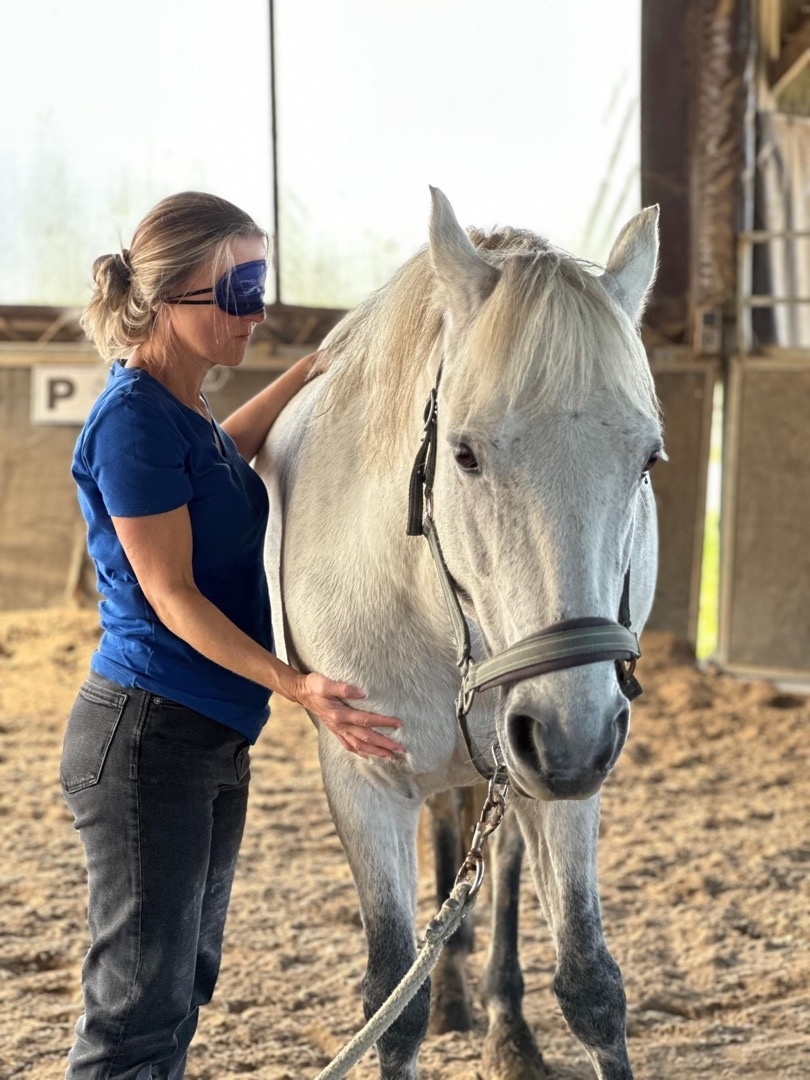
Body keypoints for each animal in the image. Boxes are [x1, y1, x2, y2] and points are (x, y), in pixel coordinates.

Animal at [256, 187, 661, 1080]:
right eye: (465, 454)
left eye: (648, 459)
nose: (571, 736)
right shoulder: (364, 781)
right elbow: (390, 1003)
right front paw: (429, 993)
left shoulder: (563, 769)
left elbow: (590, 982)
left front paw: (516, 1022)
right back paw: (447, 983)